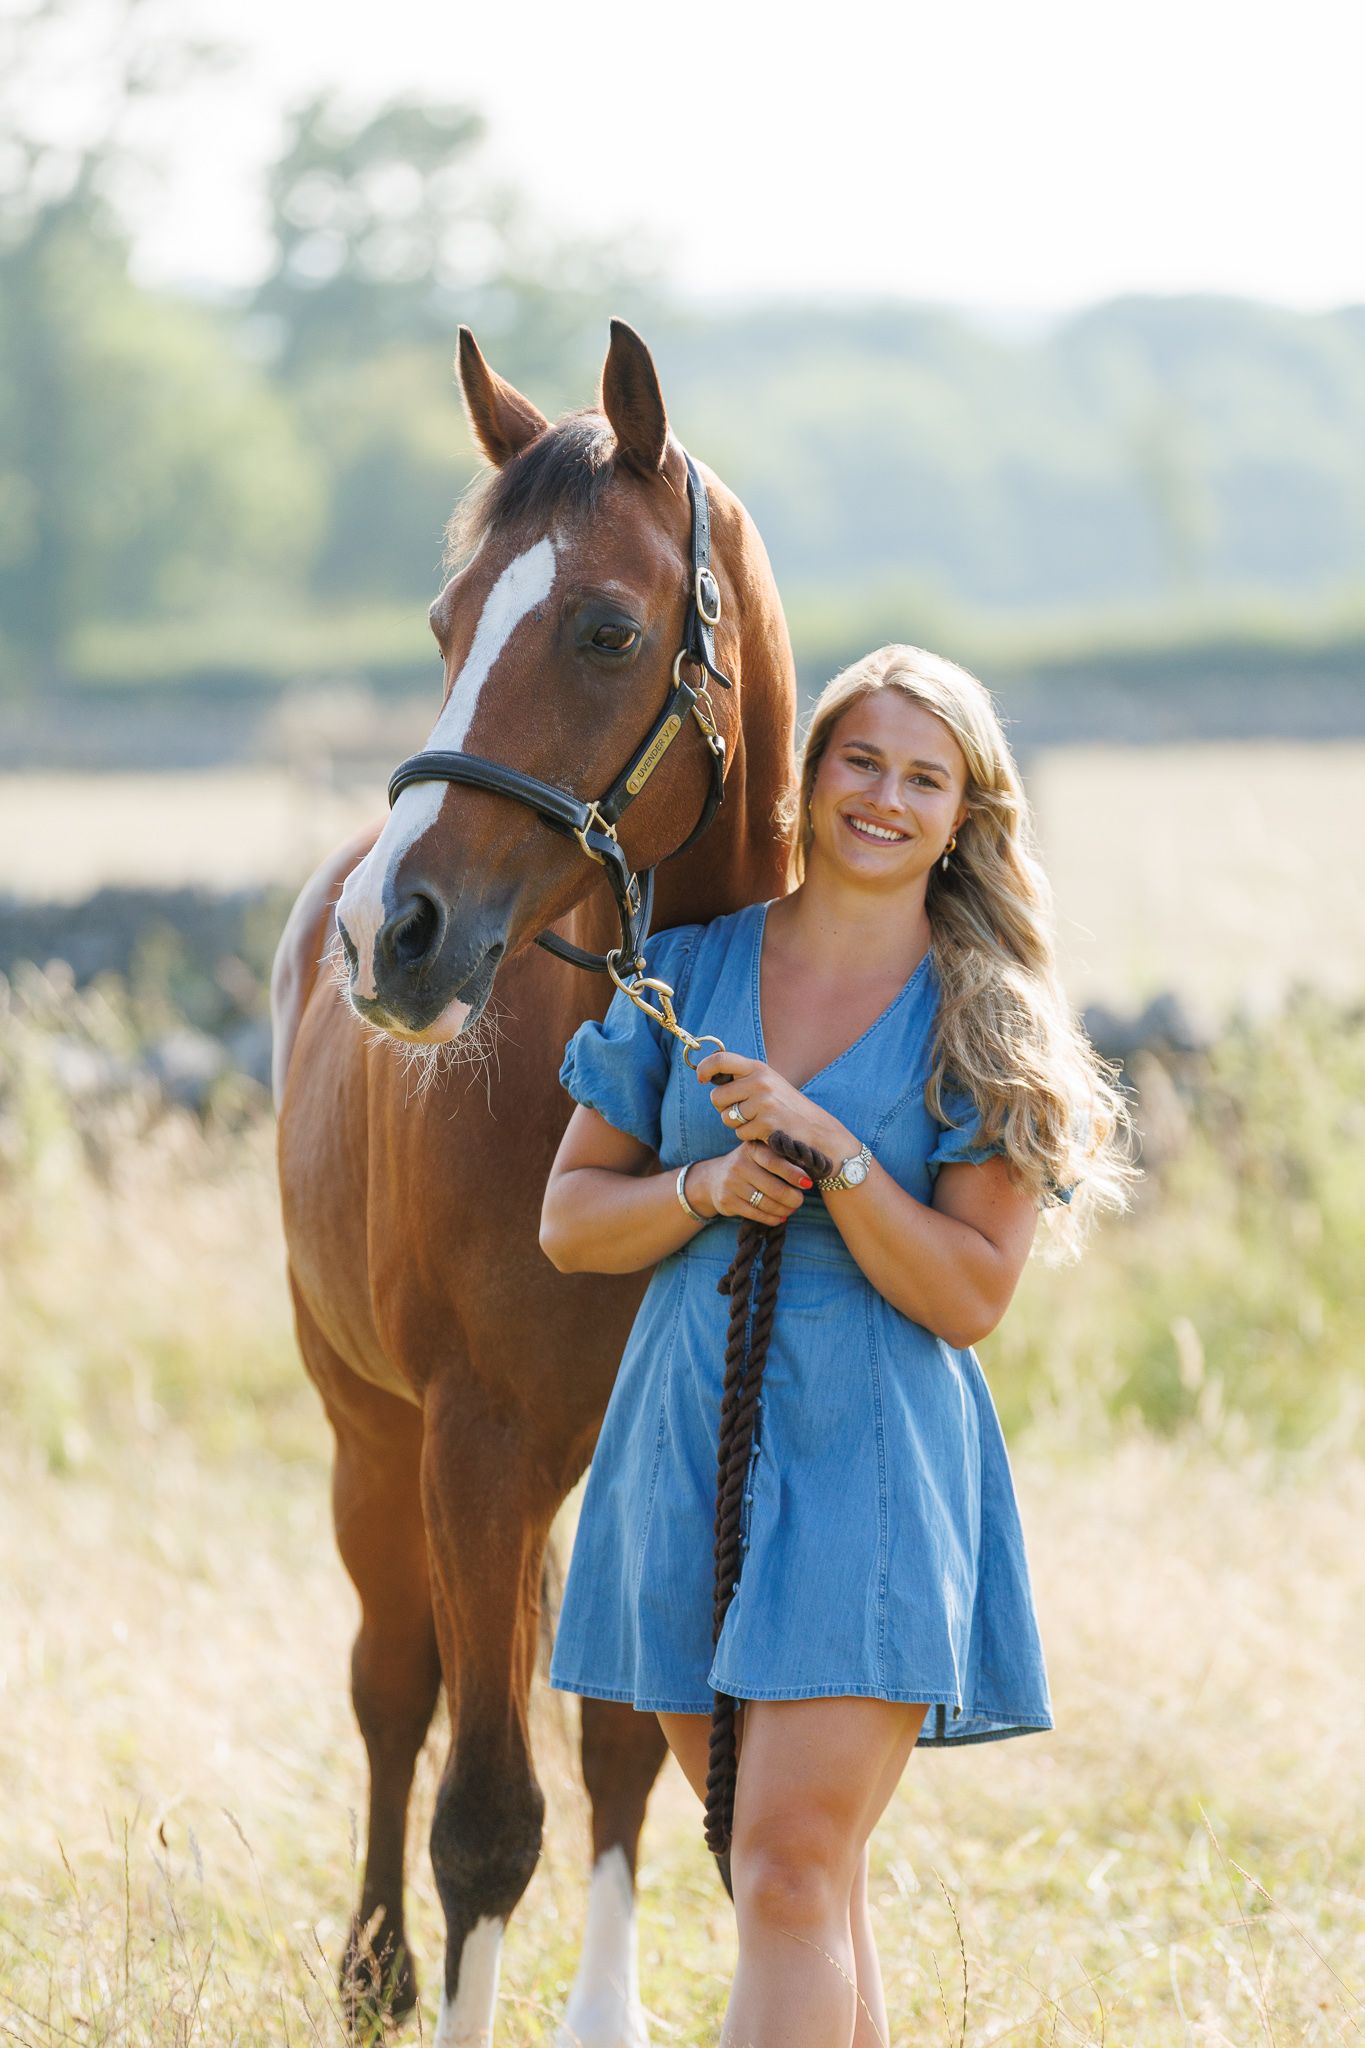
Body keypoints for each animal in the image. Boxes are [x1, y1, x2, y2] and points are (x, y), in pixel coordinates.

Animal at [271, 319, 797, 2046]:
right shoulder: (476, 1447)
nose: (394, 935)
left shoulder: (670, 1454)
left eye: (606, 629)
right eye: (445, 623)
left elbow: (630, 1745)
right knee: (394, 1687)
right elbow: (485, 1816)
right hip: (373, 1443)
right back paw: (372, 1973)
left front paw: (607, 2015)